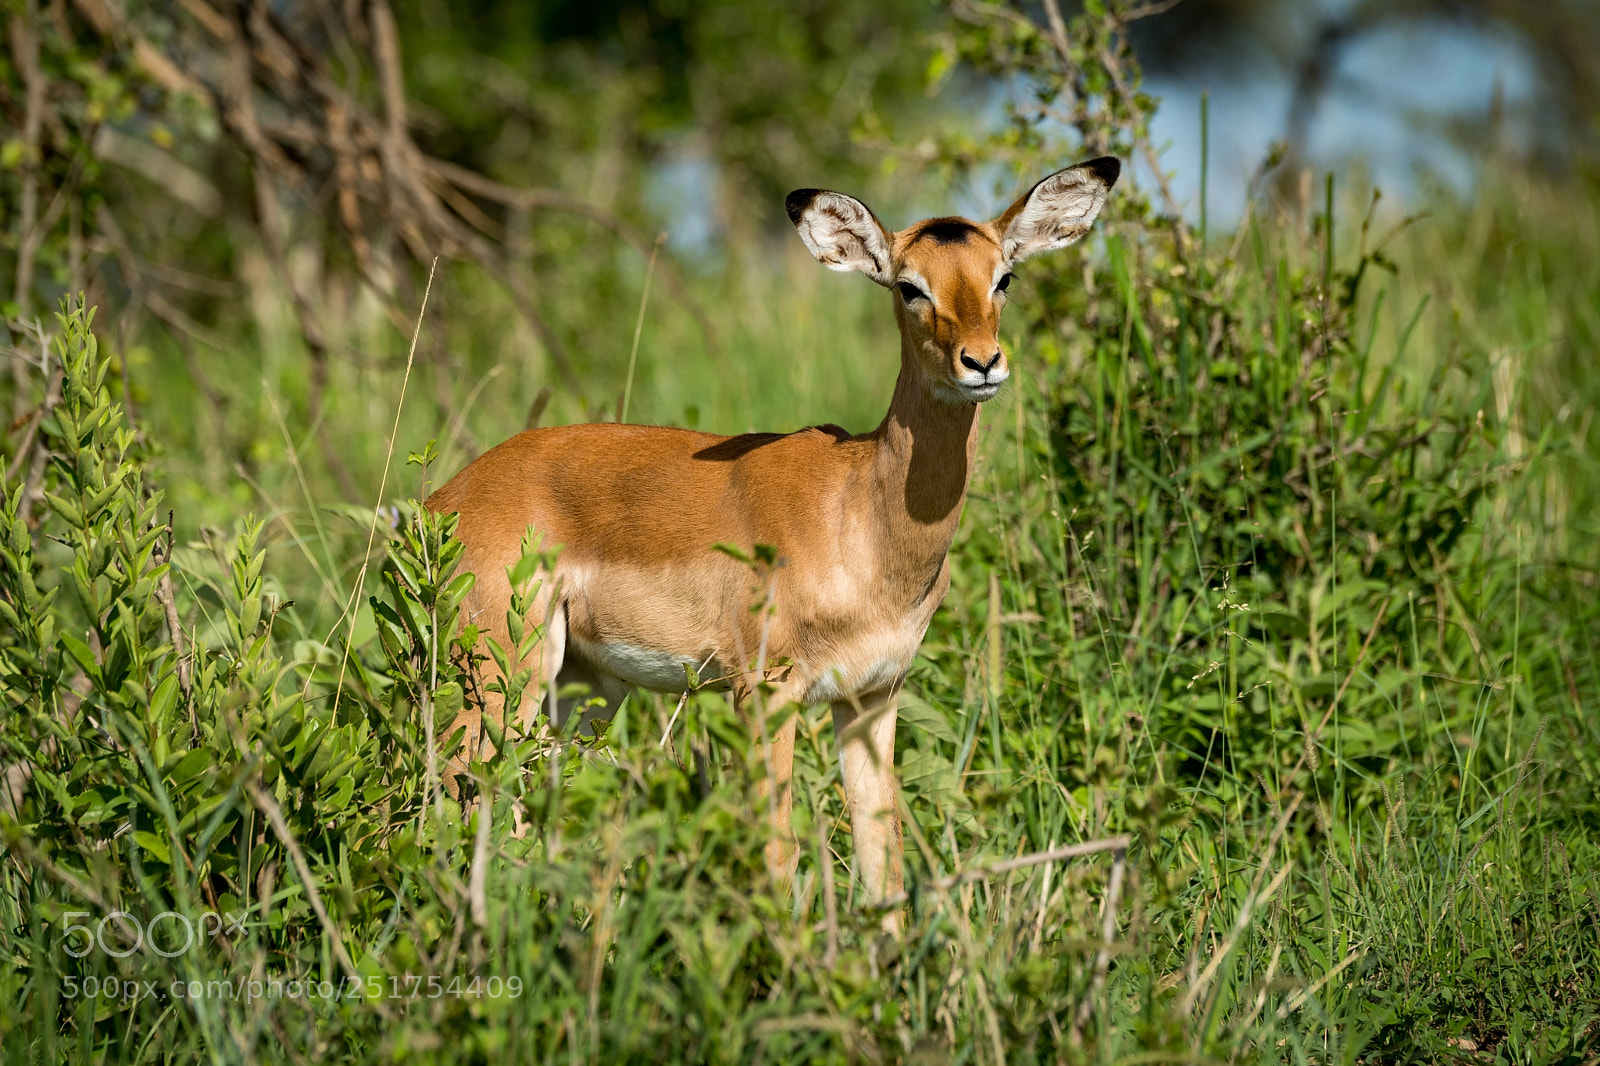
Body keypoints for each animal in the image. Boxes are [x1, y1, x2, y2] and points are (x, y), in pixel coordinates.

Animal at [426, 156, 1119, 923]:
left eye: (1004, 277)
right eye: (909, 285)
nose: (982, 362)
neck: (859, 515)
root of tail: (444, 499)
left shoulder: (873, 698)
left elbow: (883, 866)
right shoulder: (763, 691)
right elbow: (776, 857)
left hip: (580, 689)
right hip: (500, 677)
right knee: (456, 800)